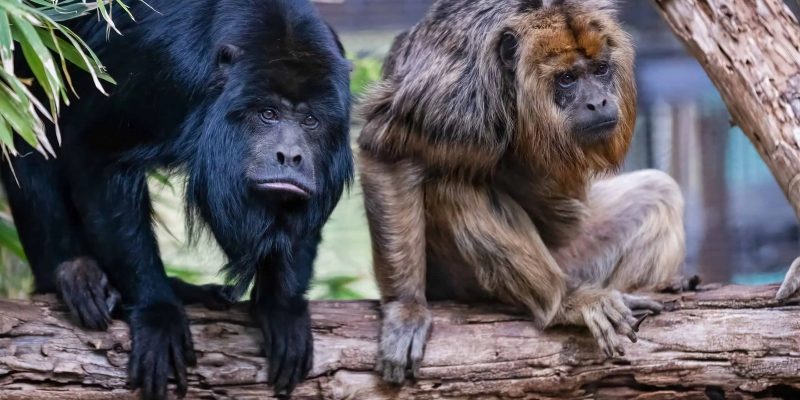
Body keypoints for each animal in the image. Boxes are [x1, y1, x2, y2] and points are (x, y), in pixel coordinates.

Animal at [357, 0, 686, 383]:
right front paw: (405, 308)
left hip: (574, 257)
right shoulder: (453, 96)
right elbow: (388, 153)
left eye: (601, 70)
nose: (599, 102)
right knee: (455, 186)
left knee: (659, 191)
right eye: (567, 79)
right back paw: (564, 301)